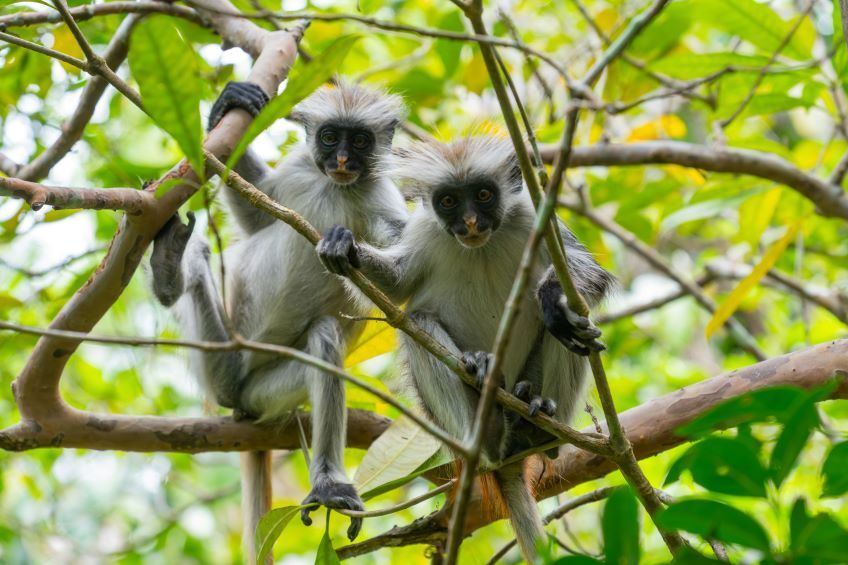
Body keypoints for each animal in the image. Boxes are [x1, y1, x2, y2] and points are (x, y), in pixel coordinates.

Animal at [149, 81, 408, 548]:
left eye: (360, 141)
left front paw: (346, 248)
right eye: (330, 138)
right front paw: (228, 105)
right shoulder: (300, 171)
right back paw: (168, 271)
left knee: (323, 338)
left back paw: (328, 485)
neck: (336, 187)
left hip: (261, 392)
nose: (342, 161)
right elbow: (257, 218)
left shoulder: (383, 200)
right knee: (198, 266)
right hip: (221, 354)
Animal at [316, 136, 614, 561]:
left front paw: (552, 298)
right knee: (419, 323)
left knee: (570, 332)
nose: (471, 223)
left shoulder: (534, 216)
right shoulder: (426, 229)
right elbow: (396, 287)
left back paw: (537, 422)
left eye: (484, 195)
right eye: (448, 201)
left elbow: (586, 278)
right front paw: (345, 248)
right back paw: (486, 427)